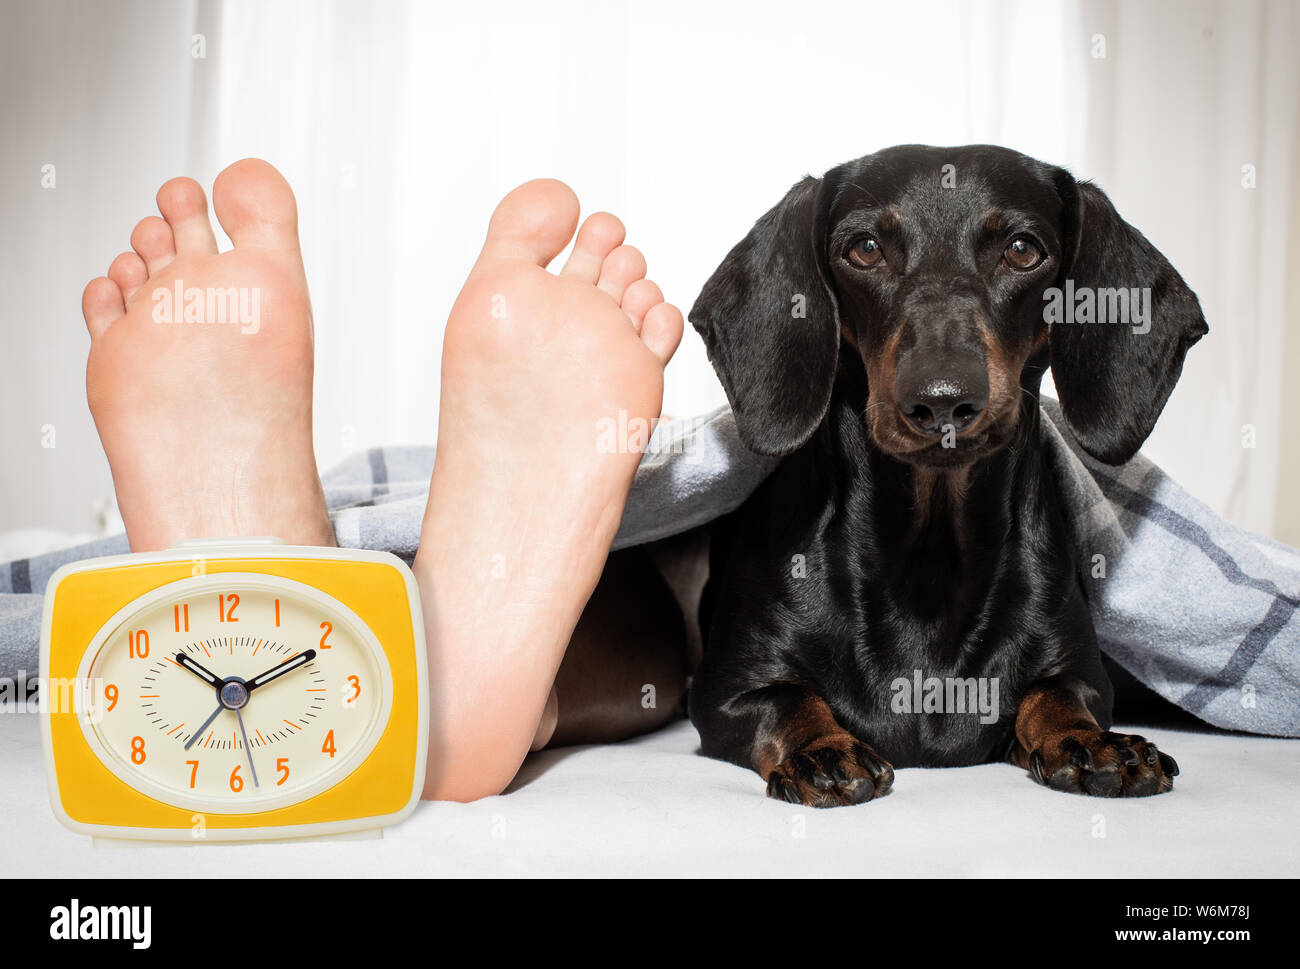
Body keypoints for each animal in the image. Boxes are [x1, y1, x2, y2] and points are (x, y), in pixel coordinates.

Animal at [691, 143, 1206, 806]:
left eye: (1022, 249)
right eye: (864, 248)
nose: (941, 401)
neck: (928, 555)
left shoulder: (1084, 675)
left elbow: (1058, 694)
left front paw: (1091, 741)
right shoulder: (725, 693)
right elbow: (786, 701)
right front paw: (822, 747)